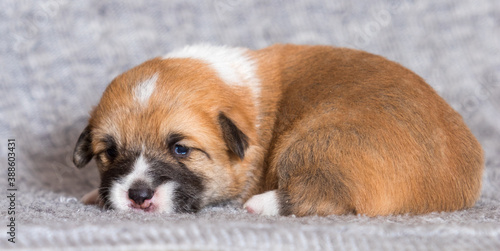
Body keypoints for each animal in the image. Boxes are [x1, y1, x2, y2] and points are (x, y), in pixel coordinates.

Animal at [72, 43, 482, 216]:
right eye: (109, 152)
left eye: (180, 149)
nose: (138, 196)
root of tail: (452, 189)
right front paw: (96, 194)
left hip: (313, 143)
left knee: (327, 199)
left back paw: (261, 204)